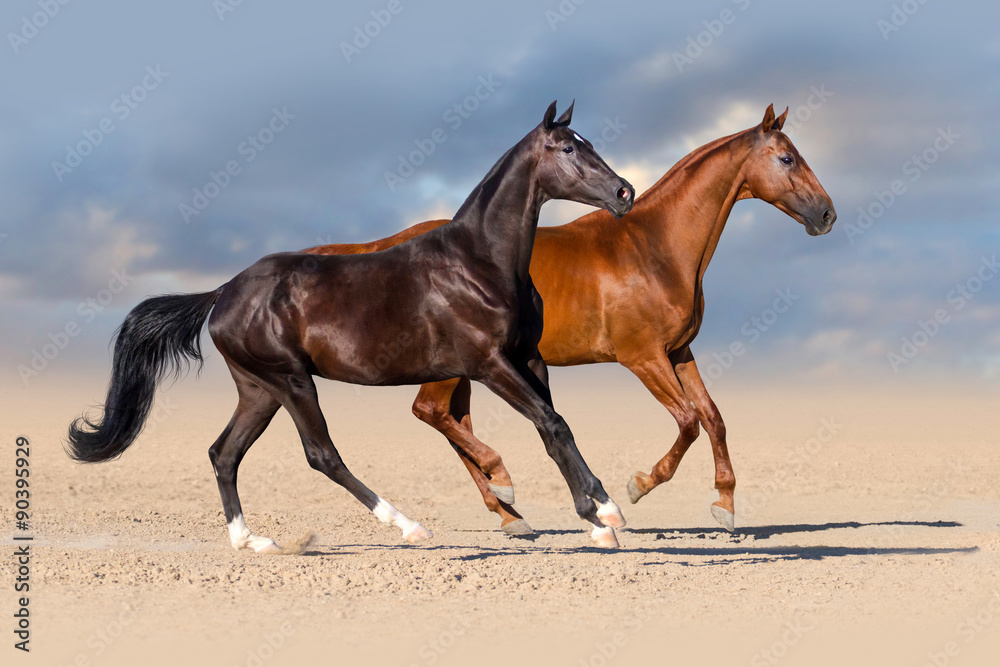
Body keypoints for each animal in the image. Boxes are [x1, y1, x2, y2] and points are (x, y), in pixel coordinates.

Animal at [67, 101, 636, 551]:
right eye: (567, 148)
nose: (624, 192)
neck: (480, 263)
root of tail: (222, 293)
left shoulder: (528, 358)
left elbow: (554, 426)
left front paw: (598, 519)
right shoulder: (489, 363)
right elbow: (552, 424)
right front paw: (602, 513)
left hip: (258, 389)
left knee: (223, 453)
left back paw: (253, 541)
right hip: (290, 380)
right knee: (321, 454)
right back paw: (408, 526)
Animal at [304, 104, 837, 535]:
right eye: (787, 159)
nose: (827, 214)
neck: (654, 247)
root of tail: (386, 246)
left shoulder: (679, 351)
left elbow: (714, 419)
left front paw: (724, 508)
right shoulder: (642, 357)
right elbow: (688, 422)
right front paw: (638, 486)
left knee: (450, 418)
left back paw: (510, 515)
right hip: (457, 366)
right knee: (431, 412)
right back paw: (505, 494)